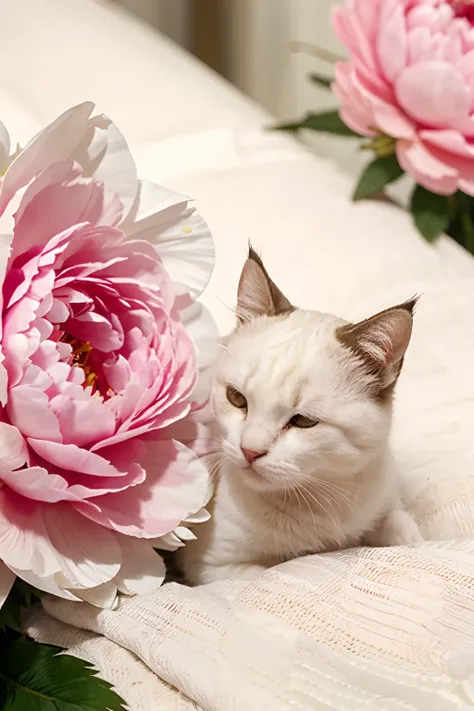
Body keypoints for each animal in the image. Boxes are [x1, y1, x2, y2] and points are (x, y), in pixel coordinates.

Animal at [179, 248, 422, 588]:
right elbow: (270, 572)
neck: (315, 500)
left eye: (304, 422)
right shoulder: (213, 566)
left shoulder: (383, 493)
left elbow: (402, 527)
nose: (249, 450)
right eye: (237, 399)